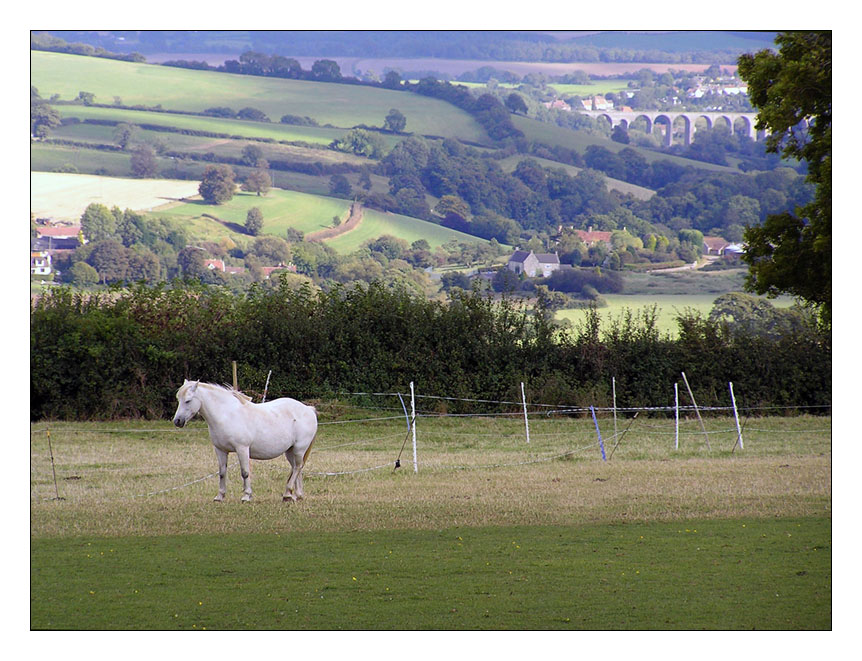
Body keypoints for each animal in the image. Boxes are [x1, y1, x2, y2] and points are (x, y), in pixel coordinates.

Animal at [172, 382, 318, 500]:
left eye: (188, 400)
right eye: (178, 399)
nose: (177, 421)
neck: (227, 415)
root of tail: (308, 409)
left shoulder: (242, 449)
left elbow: (245, 472)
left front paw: (246, 496)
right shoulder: (220, 450)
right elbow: (222, 473)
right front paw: (220, 496)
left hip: (299, 449)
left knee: (297, 467)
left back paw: (288, 494)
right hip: (290, 451)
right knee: (296, 468)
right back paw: (297, 495)